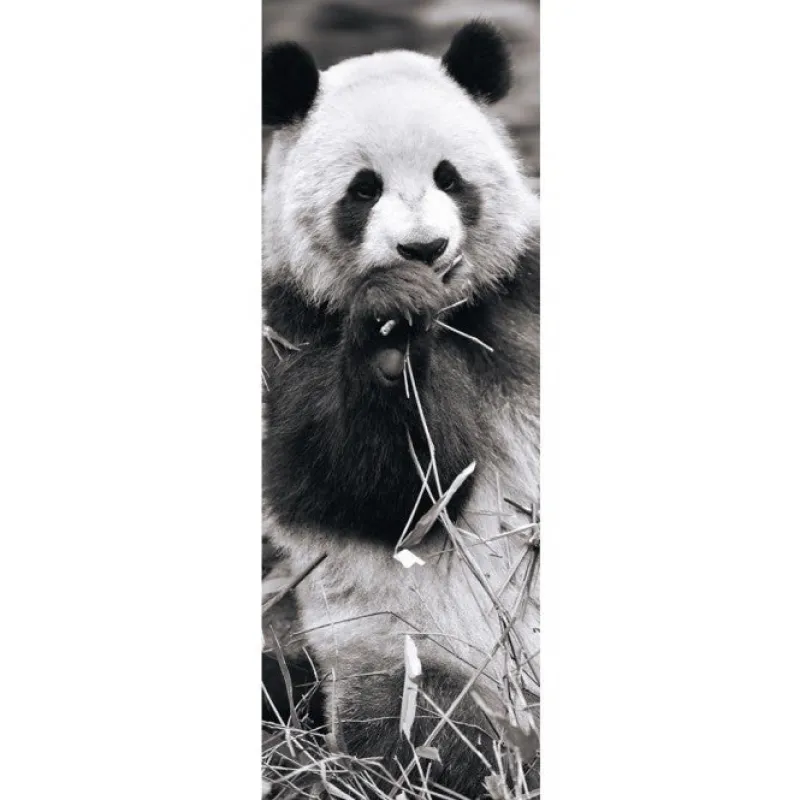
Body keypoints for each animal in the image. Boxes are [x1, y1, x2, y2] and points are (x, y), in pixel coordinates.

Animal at [262, 20, 540, 798]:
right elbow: (383, 490)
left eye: (450, 177)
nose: (424, 248)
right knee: (430, 731)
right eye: (363, 189)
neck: (454, 312)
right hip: (403, 650)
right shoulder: (287, 331)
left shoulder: (527, 293)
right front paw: (390, 339)